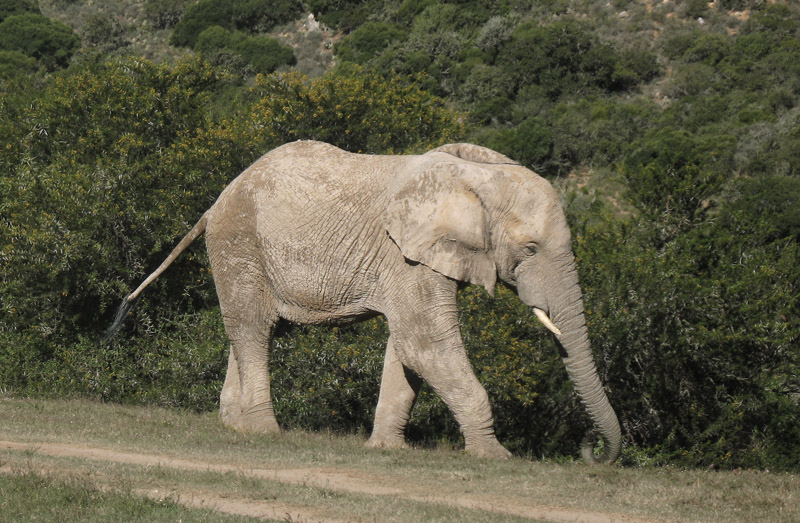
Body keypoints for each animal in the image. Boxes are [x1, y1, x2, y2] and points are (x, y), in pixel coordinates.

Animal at [107, 140, 622, 463]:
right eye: (530, 250)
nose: (590, 452)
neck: (478, 179)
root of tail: (216, 202)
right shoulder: (405, 255)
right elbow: (424, 343)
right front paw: (497, 457)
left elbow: (406, 346)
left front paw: (388, 451)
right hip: (238, 242)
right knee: (253, 332)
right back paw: (265, 433)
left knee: (254, 332)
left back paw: (235, 427)